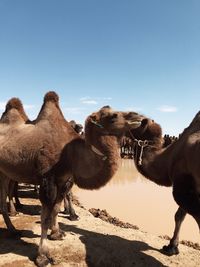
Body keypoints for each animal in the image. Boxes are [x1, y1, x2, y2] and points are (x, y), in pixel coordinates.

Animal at [0, 91, 142, 266]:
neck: (69, 153)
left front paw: (57, 233)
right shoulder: (47, 179)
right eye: (113, 116)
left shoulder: (62, 180)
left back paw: (13, 229)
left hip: (5, 172)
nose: (138, 116)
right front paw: (42, 256)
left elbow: (55, 209)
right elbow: (45, 218)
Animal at [127, 115, 200, 258]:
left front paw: (171, 246)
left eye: (137, 122)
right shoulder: (188, 185)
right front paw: (171, 247)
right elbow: (179, 216)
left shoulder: (182, 184)